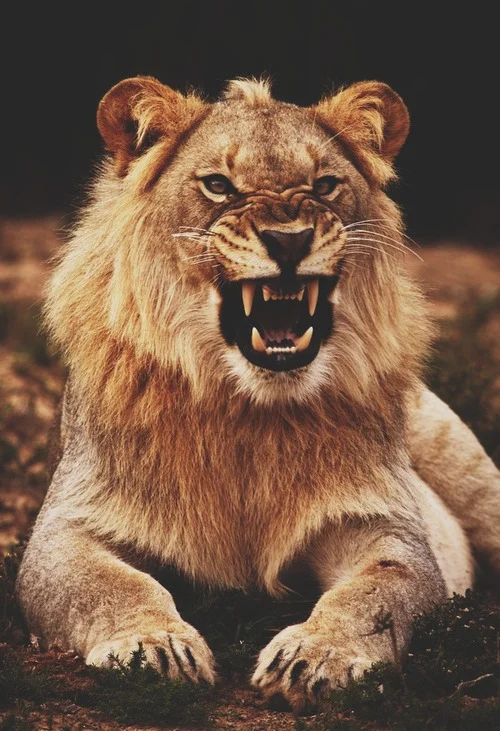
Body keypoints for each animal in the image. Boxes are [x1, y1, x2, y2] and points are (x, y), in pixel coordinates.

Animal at [17, 75, 500, 712]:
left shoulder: (385, 528)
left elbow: (374, 594)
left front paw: (317, 656)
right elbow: (112, 585)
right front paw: (154, 646)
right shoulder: (64, 530)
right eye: (219, 185)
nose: (288, 241)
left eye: (325, 185)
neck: (248, 411)